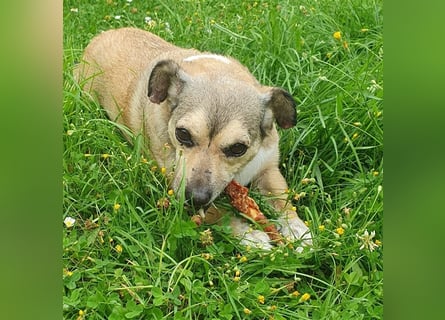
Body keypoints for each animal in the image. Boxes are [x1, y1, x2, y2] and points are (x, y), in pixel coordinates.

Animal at [75, 27, 312, 250]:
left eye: (238, 148)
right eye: (182, 134)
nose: (195, 198)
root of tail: (101, 36)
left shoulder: (267, 169)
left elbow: (283, 200)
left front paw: (297, 230)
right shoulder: (176, 183)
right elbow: (219, 213)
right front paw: (249, 235)